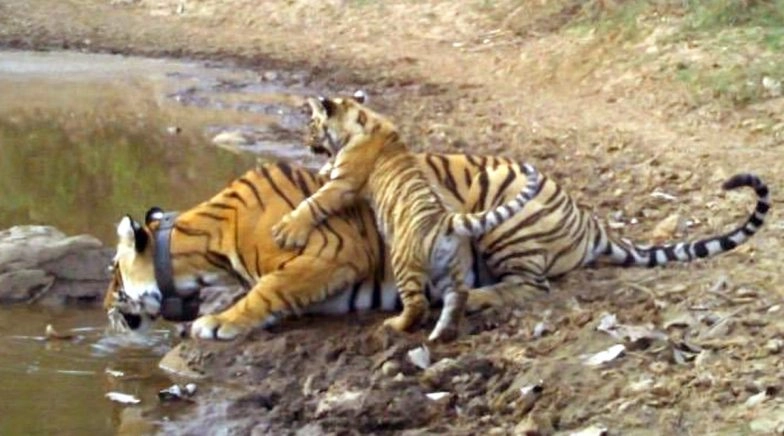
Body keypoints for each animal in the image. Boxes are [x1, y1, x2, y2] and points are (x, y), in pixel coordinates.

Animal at [270, 92, 542, 342]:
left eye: (311, 124)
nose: (306, 142)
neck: (363, 118)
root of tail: (444, 221)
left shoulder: (343, 183)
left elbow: (314, 202)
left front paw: (286, 231)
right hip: (447, 267)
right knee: (457, 296)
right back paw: (442, 333)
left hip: (402, 261)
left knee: (418, 305)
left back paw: (394, 325)